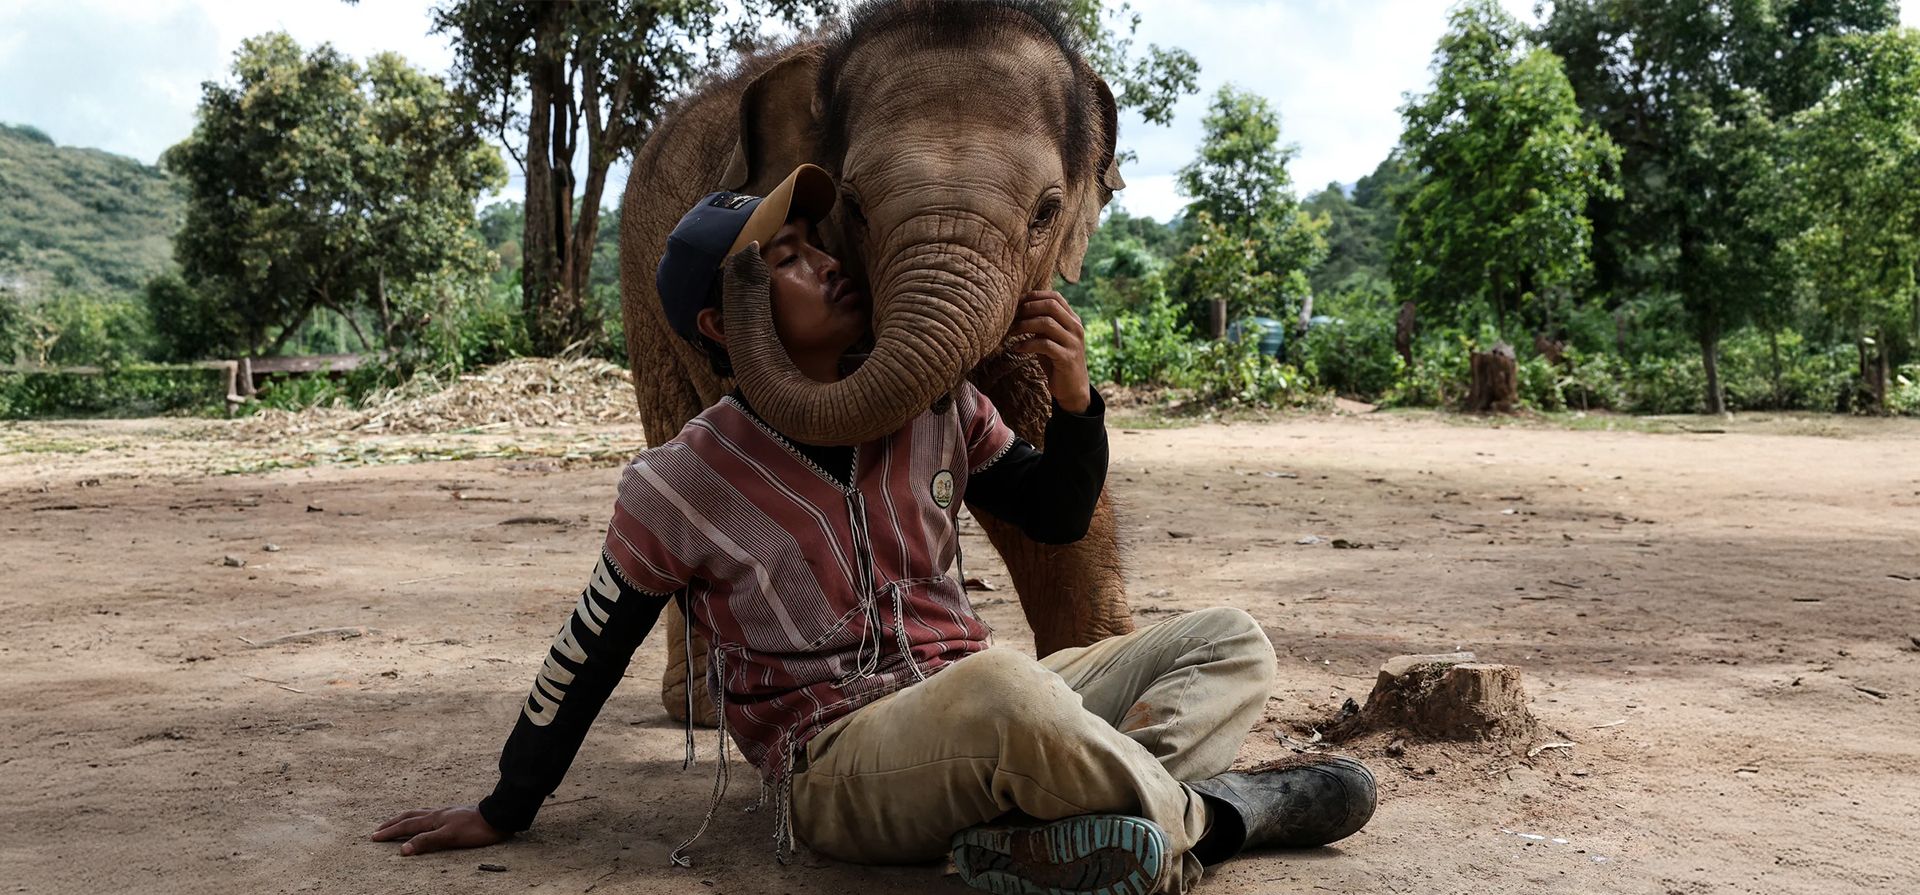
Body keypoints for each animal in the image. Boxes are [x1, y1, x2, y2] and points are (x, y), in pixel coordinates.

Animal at [617, 0, 1136, 722]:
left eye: (1047, 212)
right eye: (853, 206)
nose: (745, 254)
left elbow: (1041, 486)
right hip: (641, 286)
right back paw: (699, 704)